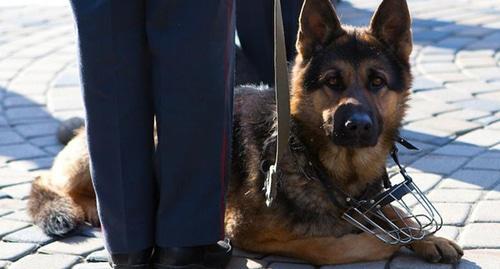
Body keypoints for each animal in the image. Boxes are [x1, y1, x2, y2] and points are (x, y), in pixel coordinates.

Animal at [29, 0, 462, 264]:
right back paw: (79, 209)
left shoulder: (368, 198)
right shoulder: (252, 232)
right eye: (333, 81)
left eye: (377, 82)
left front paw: (425, 237)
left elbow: (396, 213)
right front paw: (387, 242)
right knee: (47, 181)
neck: (313, 158)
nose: (357, 125)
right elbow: (344, 244)